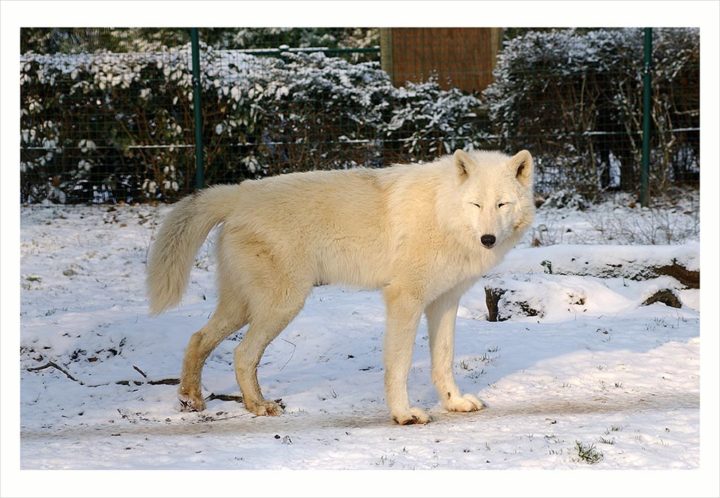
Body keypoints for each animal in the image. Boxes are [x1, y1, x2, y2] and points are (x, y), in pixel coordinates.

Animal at [146, 149, 532, 424]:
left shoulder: (444, 302)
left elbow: (444, 359)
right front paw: (404, 414)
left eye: (502, 204)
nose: (487, 239)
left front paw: (455, 403)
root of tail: (239, 193)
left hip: (243, 307)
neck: (443, 212)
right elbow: (400, 363)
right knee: (242, 353)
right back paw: (259, 406)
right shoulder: (404, 299)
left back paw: (192, 399)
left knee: (198, 338)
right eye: (476, 204)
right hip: (283, 304)